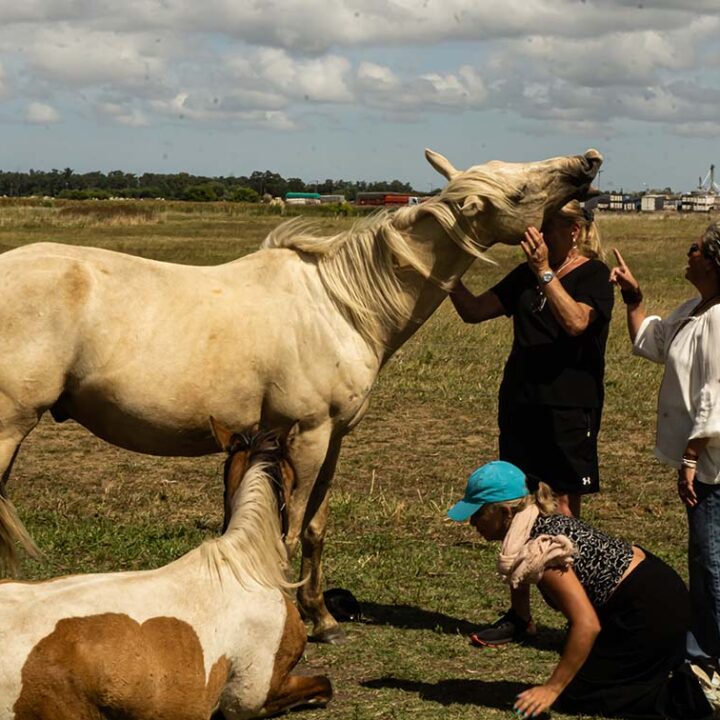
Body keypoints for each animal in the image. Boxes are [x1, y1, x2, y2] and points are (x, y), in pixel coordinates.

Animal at [0, 147, 602, 643]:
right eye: (518, 192)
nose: (588, 162)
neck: (339, 305)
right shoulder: (305, 437)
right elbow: (282, 534)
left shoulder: (333, 438)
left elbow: (313, 528)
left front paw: (323, 617)